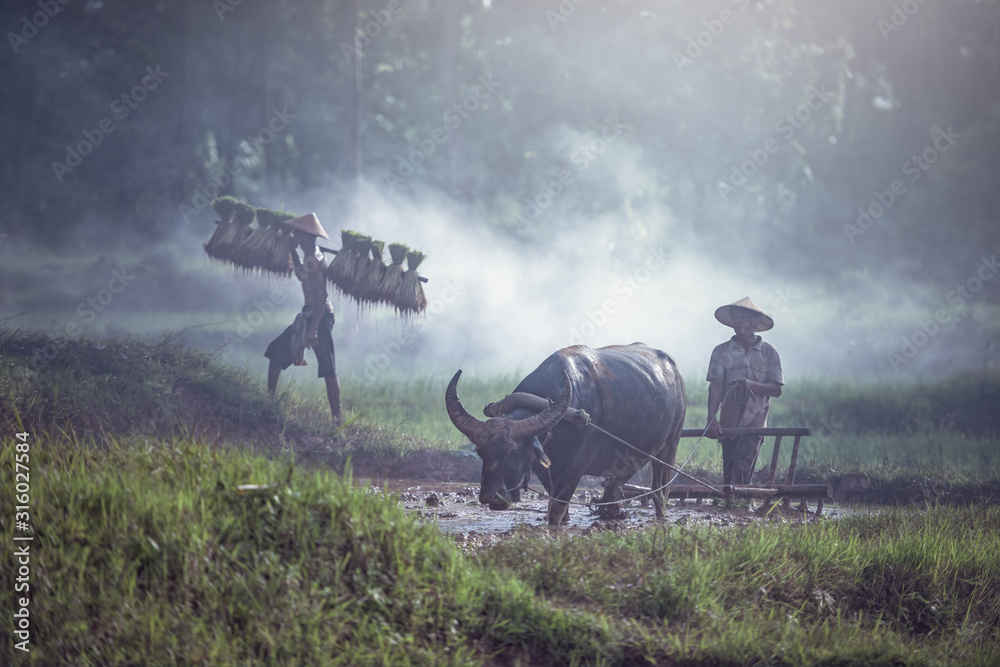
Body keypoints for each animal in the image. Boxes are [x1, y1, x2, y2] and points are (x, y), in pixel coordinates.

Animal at [448, 344, 688, 528]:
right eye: (481, 452)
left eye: (513, 452)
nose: (491, 496)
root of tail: (677, 373)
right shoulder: (546, 471)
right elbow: (559, 508)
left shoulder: (573, 470)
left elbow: (556, 510)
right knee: (615, 487)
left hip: (670, 447)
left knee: (660, 492)